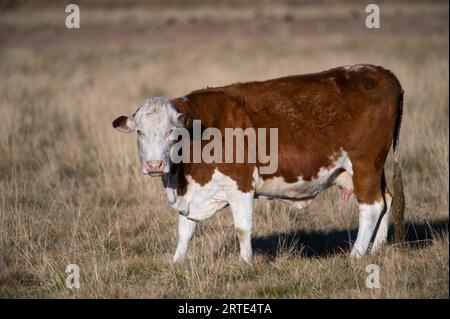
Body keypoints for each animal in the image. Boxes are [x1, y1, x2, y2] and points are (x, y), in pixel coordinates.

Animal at [113, 63, 408, 264]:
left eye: (172, 133)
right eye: (139, 132)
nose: (154, 165)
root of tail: (382, 73)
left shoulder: (240, 184)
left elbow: (242, 227)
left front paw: (245, 263)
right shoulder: (192, 194)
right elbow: (185, 231)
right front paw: (176, 262)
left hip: (365, 164)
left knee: (372, 206)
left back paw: (356, 255)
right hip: (368, 168)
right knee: (386, 199)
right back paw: (376, 249)